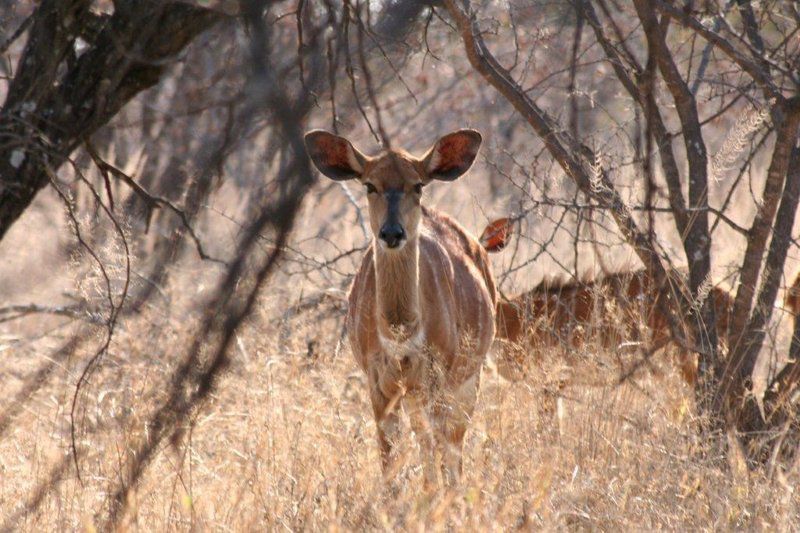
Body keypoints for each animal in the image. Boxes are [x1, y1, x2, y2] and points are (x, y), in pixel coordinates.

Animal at [304, 129, 496, 486]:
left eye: (417, 185)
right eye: (369, 185)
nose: (392, 232)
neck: (400, 332)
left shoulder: (436, 379)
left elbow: (440, 449)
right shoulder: (380, 385)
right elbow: (390, 463)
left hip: (466, 379)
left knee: (452, 445)